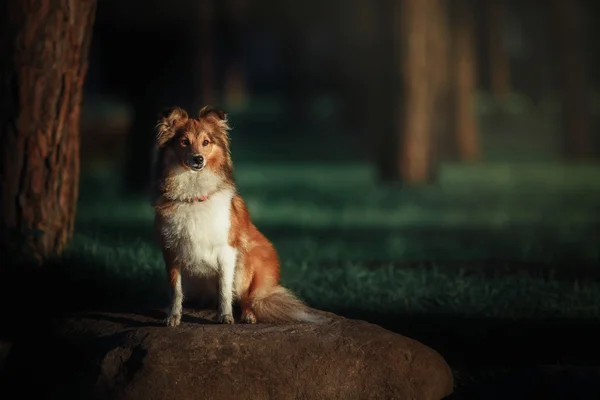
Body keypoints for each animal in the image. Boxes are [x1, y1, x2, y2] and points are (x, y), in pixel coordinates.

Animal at [151, 106, 318, 324]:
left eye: (206, 142)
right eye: (184, 141)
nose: (198, 159)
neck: (193, 192)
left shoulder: (227, 250)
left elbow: (224, 289)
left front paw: (226, 317)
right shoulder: (172, 251)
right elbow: (176, 290)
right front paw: (173, 316)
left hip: (245, 261)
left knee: (246, 297)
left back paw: (247, 315)